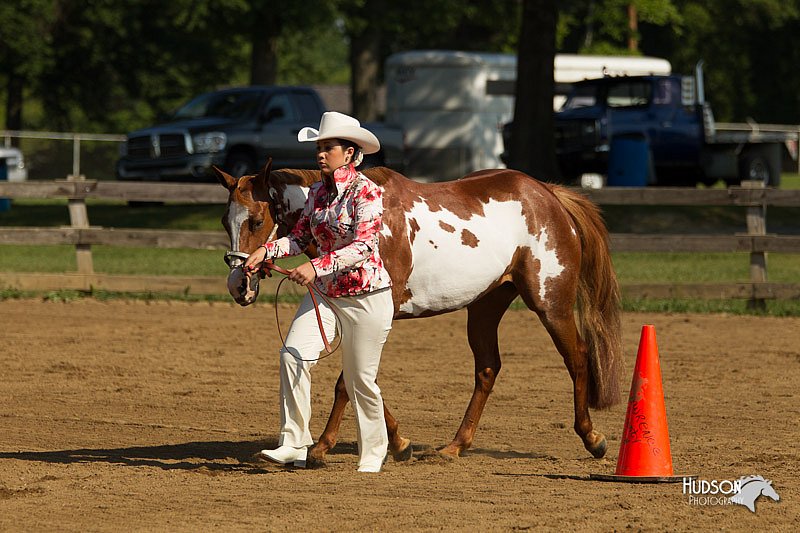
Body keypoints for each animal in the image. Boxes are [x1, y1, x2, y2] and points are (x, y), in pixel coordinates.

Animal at [214, 160, 624, 464]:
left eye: (255, 220)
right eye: (224, 220)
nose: (239, 284)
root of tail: (547, 193)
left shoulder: (378, 317)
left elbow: (349, 381)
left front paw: (323, 446)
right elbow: (359, 379)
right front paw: (398, 443)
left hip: (551, 304)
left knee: (578, 357)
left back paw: (593, 438)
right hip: (485, 306)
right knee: (488, 369)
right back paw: (455, 446)